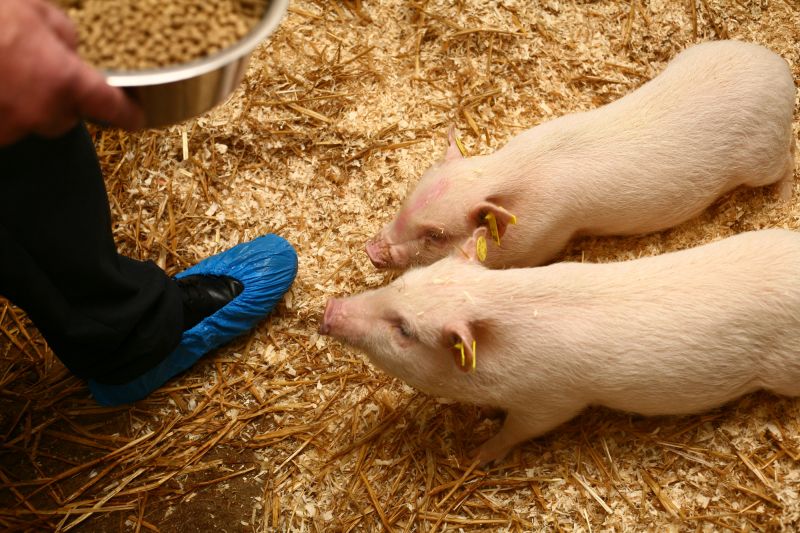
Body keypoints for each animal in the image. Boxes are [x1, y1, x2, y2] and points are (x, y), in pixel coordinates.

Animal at [325, 227, 800, 463]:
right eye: (404, 282)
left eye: (404, 330)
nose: (329, 309)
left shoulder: (552, 401)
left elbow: (519, 430)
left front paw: (476, 455)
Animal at [366, 40, 796, 270]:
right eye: (405, 203)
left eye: (436, 235)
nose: (371, 251)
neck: (510, 174)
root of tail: (781, 71)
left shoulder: (545, 237)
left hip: (762, 156)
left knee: (788, 159)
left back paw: (781, 200)